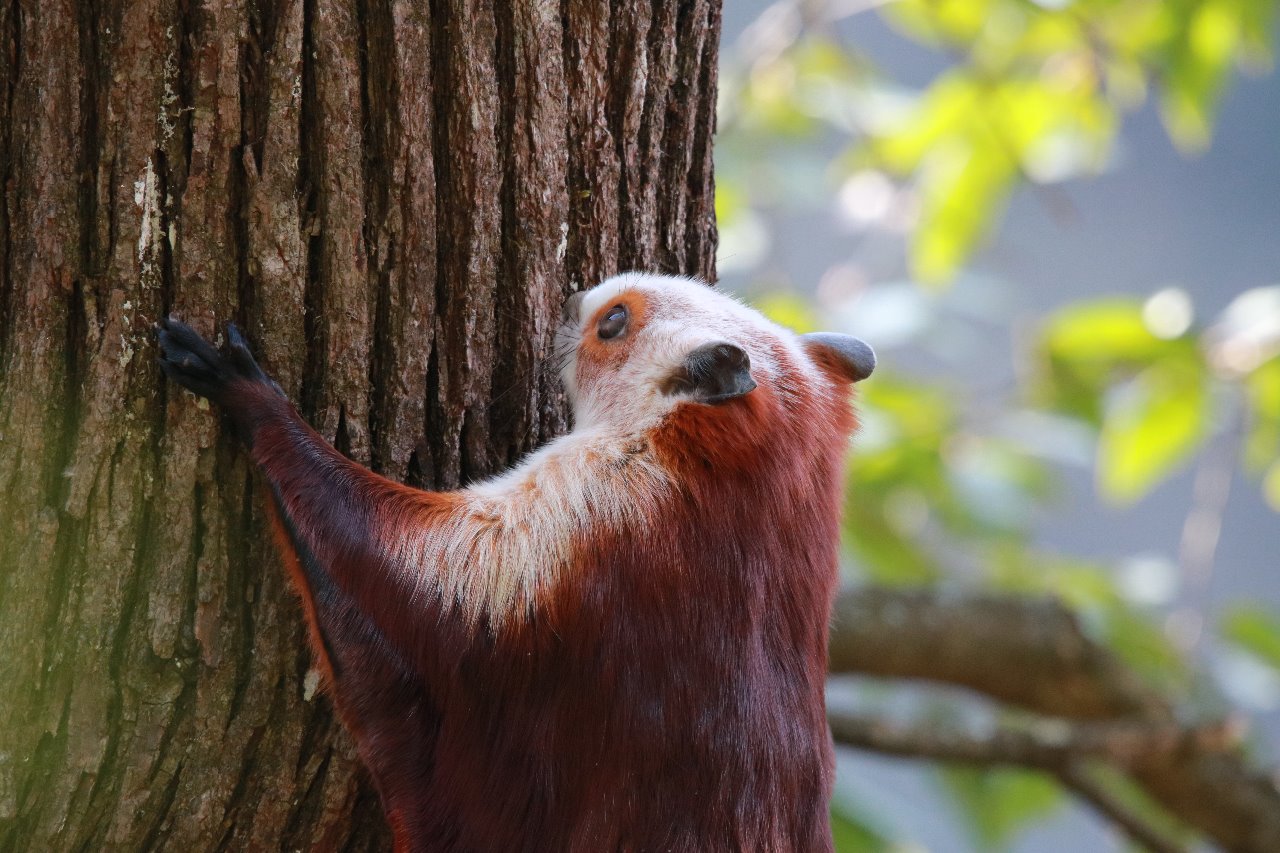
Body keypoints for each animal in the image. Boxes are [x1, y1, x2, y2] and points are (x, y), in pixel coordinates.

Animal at [157, 274, 880, 850]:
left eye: (613, 321)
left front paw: (248, 394)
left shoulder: (572, 532)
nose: (568, 298)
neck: (751, 479)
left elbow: (378, 556)